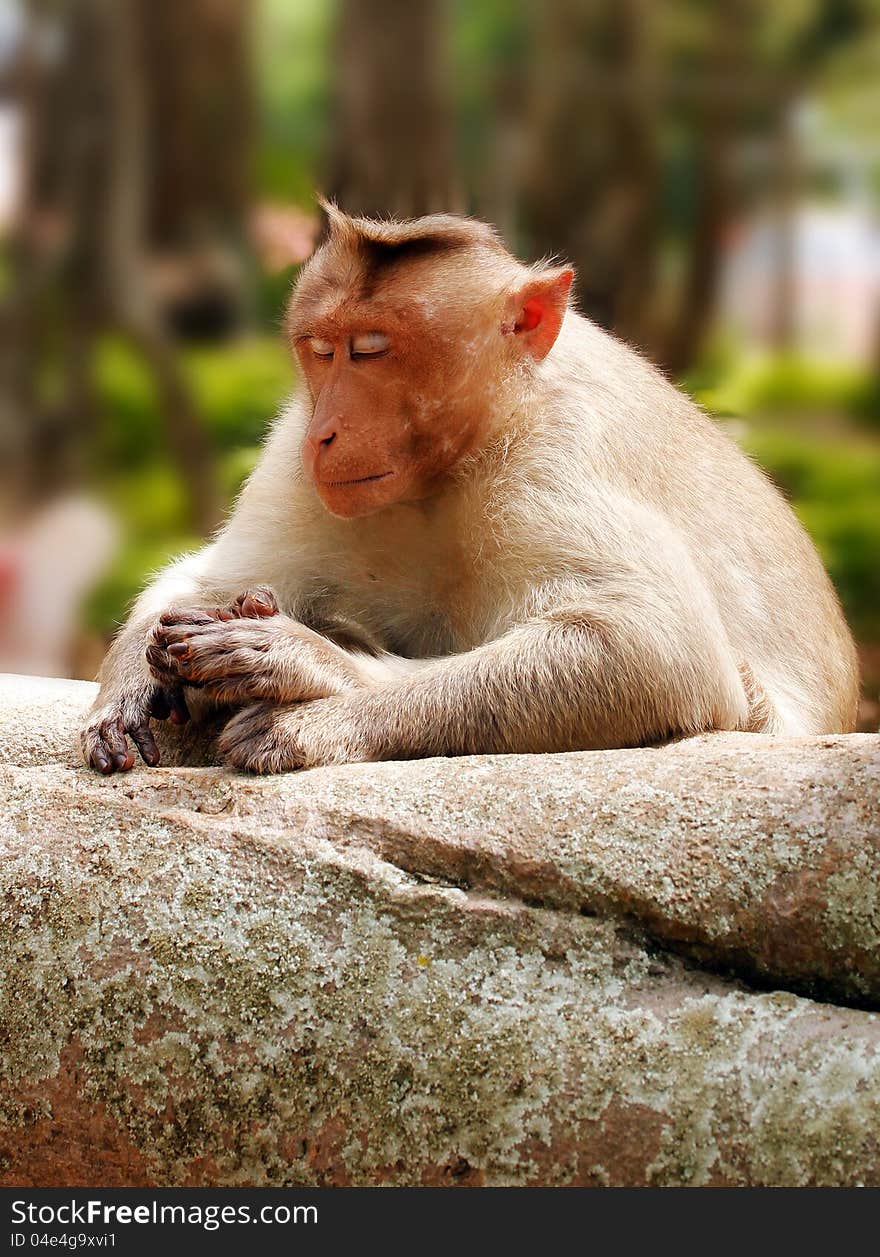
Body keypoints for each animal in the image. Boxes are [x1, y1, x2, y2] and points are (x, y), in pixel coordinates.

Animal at [81, 203, 854, 774]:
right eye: (319, 349)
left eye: (371, 351)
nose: (325, 431)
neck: (453, 463)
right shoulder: (290, 459)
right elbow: (209, 579)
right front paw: (129, 687)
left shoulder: (560, 454)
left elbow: (657, 646)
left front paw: (314, 679)